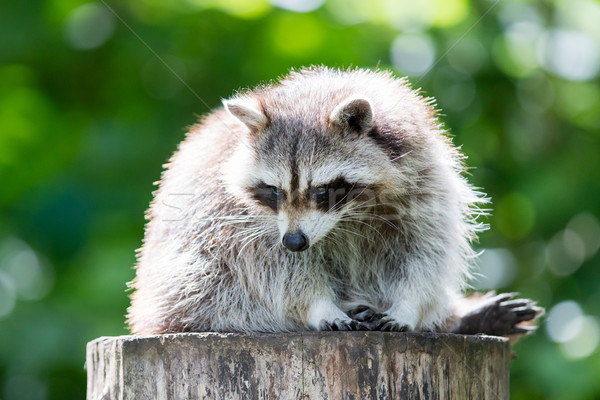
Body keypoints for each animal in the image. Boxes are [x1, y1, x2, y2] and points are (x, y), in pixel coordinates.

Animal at [127, 67, 544, 336]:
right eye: (274, 190)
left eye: (322, 190)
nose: (295, 241)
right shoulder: (239, 219)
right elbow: (274, 270)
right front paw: (318, 304)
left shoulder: (426, 183)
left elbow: (424, 253)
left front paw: (408, 305)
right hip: (182, 285)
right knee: (217, 289)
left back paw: (454, 318)